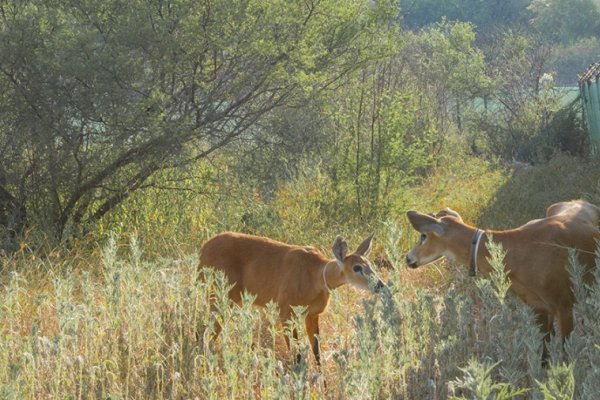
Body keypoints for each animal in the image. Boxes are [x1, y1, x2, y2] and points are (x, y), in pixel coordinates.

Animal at [406, 202, 596, 358]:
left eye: (423, 236)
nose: (408, 258)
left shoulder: (563, 301)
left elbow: (566, 354)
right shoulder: (538, 307)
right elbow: (543, 356)